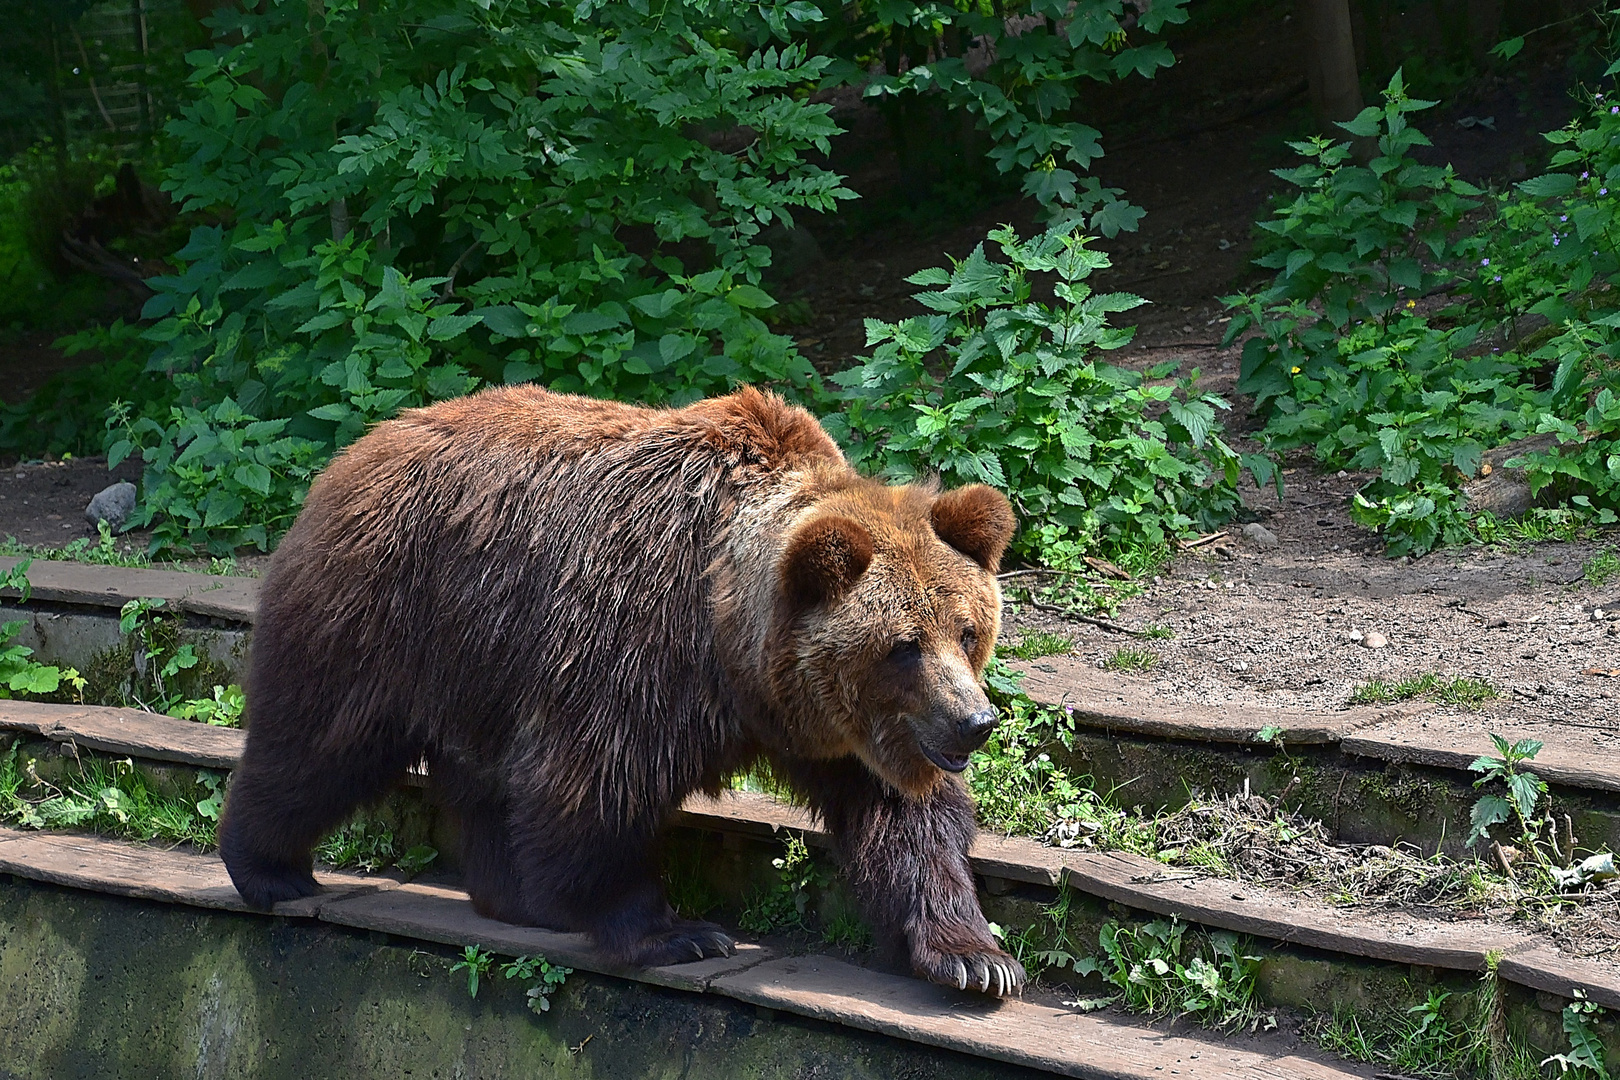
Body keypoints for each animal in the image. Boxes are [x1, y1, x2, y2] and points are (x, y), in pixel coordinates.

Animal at [221, 383, 1023, 1003]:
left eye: (967, 630)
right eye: (903, 646)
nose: (974, 721)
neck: (731, 643)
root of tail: (357, 450)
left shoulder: (843, 729)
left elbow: (906, 819)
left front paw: (975, 958)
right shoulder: (633, 645)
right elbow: (596, 789)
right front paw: (676, 932)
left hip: (483, 659)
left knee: (480, 776)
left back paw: (513, 897)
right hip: (387, 613)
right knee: (320, 742)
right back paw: (270, 870)